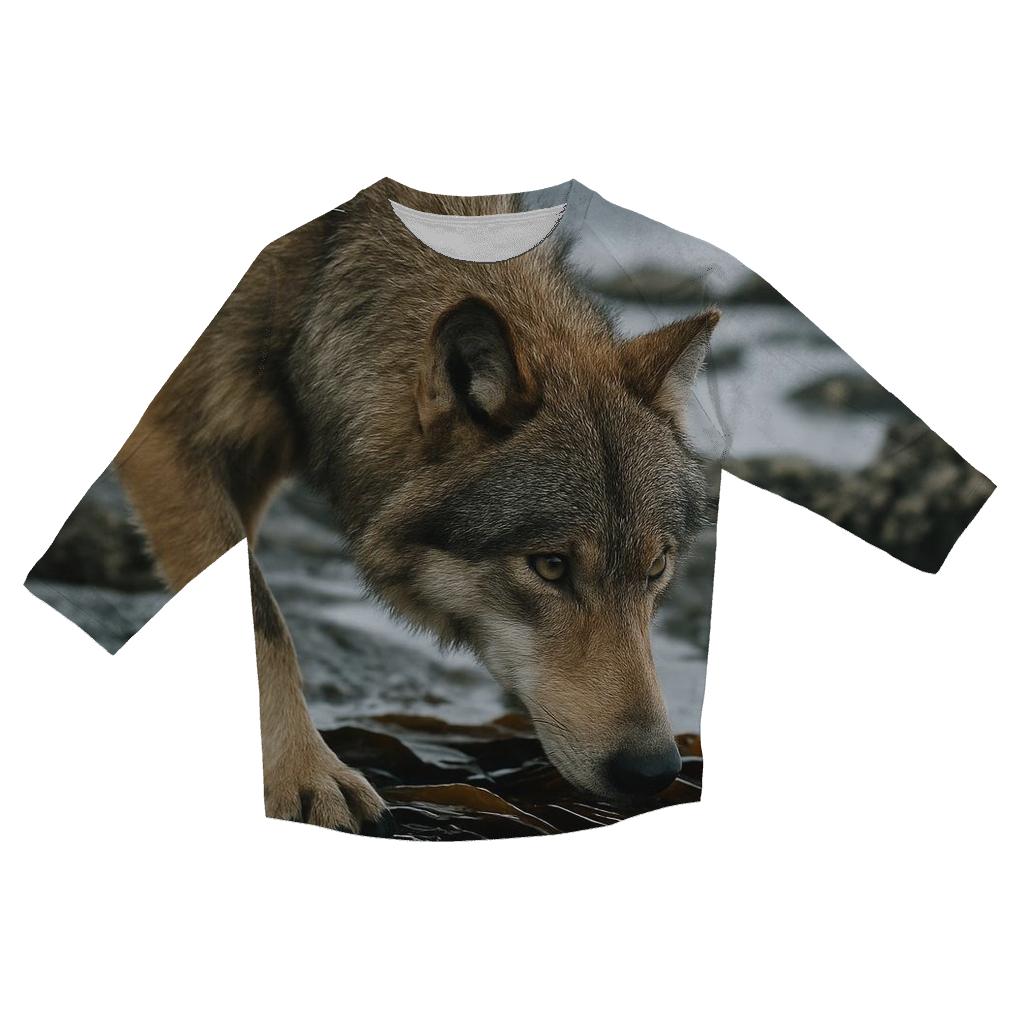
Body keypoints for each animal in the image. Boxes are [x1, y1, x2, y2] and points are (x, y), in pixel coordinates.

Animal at [113, 179, 720, 835]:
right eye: (551, 566)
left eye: (656, 569)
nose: (655, 770)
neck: (317, 283)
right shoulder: (169, 446)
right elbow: (263, 626)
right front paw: (306, 776)